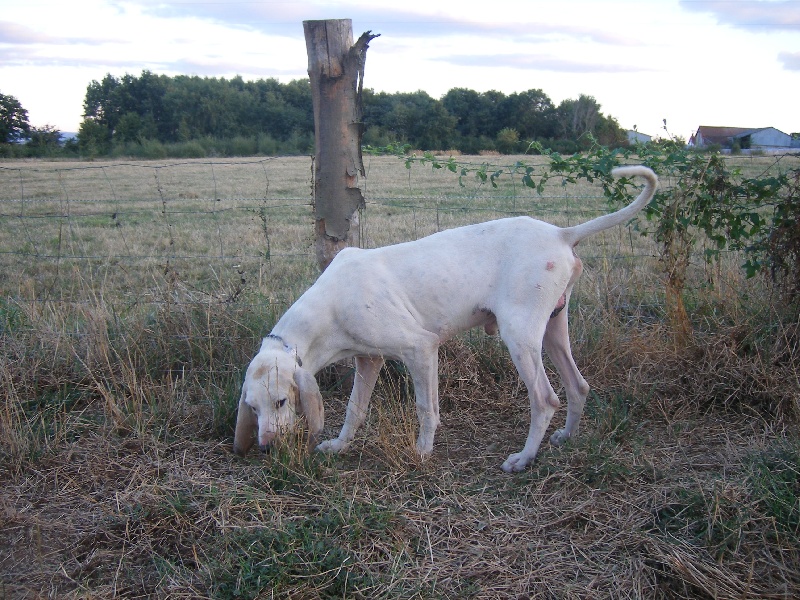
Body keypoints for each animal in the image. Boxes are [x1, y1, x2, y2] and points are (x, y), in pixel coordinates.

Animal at [234, 165, 660, 474]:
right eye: (252, 408)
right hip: (554, 329)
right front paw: (339, 446)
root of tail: (561, 232)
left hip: (520, 337)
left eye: (282, 401)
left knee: (545, 398)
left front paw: (422, 452)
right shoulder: (368, 359)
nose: (266, 448)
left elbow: (426, 409)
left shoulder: (420, 349)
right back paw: (566, 438)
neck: (329, 305)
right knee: (578, 386)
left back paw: (523, 459)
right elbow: (355, 409)